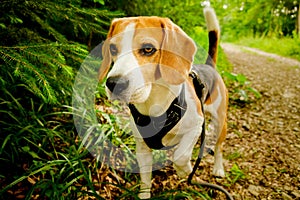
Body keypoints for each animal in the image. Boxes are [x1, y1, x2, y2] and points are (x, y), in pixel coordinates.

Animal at [98, 7, 227, 198]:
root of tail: (209, 66)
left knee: (218, 148)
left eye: (148, 49)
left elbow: (180, 156)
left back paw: (218, 168)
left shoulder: (196, 124)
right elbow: (145, 179)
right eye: (113, 48)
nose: (114, 84)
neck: (153, 101)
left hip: (220, 122)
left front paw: (185, 170)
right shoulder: (142, 148)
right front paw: (144, 195)